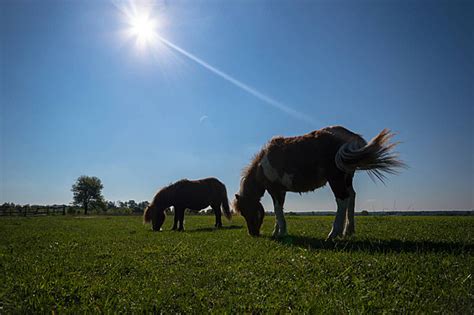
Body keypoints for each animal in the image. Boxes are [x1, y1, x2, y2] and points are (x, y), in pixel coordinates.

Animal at [231, 126, 406, 239]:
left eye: (246, 211)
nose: (253, 234)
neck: (262, 165)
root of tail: (349, 137)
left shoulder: (275, 190)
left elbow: (277, 210)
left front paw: (281, 232)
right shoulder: (281, 191)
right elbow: (278, 210)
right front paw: (277, 231)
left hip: (335, 179)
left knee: (342, 200)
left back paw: (333, 234)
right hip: (346, 179)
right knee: (351, 197)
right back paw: (348, 231)